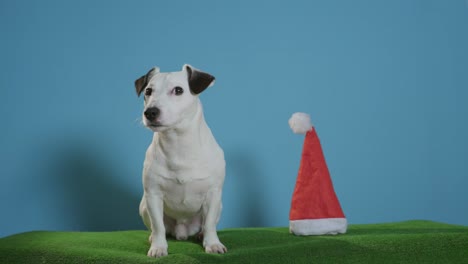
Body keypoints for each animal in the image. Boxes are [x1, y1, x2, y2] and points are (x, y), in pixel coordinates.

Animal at [133, 64, 227, 258]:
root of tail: (182, 231)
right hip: (143, 206)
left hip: (218, 207)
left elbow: (210, 224)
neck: (178, 143)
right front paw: (159, 247)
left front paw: (212, 244)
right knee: (157, 227)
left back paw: (201, 235)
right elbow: (158, 226)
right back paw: (153, 238)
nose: (150, 112)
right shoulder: (153, 195)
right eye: (148, 91)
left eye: (178, 90)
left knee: (206, 223)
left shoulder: (214, 194)